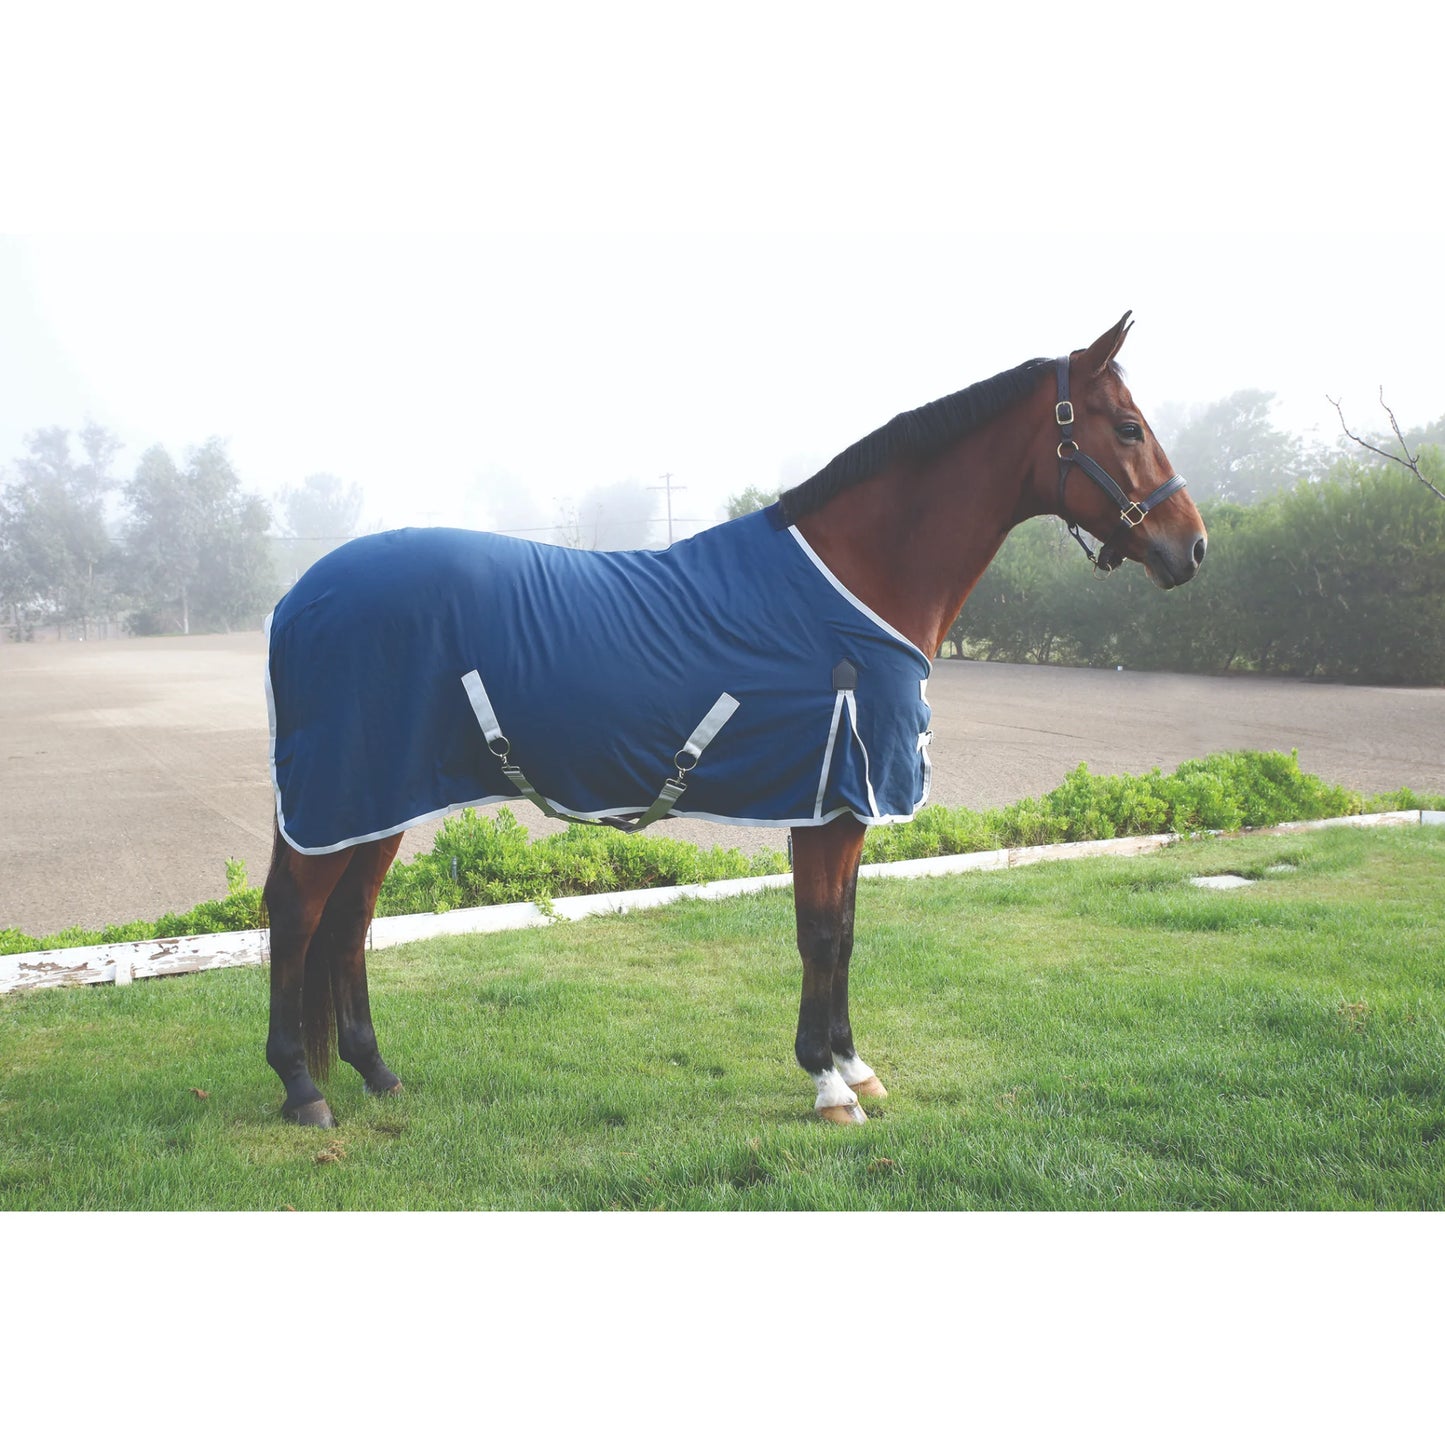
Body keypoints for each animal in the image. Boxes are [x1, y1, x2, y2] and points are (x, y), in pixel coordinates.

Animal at [262, 312, 1207, 1128]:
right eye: (1127, 428)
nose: (1191, 547)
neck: (853, 581)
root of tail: (298, 598)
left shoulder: (839, 804)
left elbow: (846, 931)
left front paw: (855, 1063)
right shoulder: (828, 801)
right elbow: (819, 934)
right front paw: (828, 1084)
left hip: (380, 801)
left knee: (348, 922)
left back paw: (376, 1070)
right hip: (341, 795)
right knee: (298, 915)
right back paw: (302, 1087)